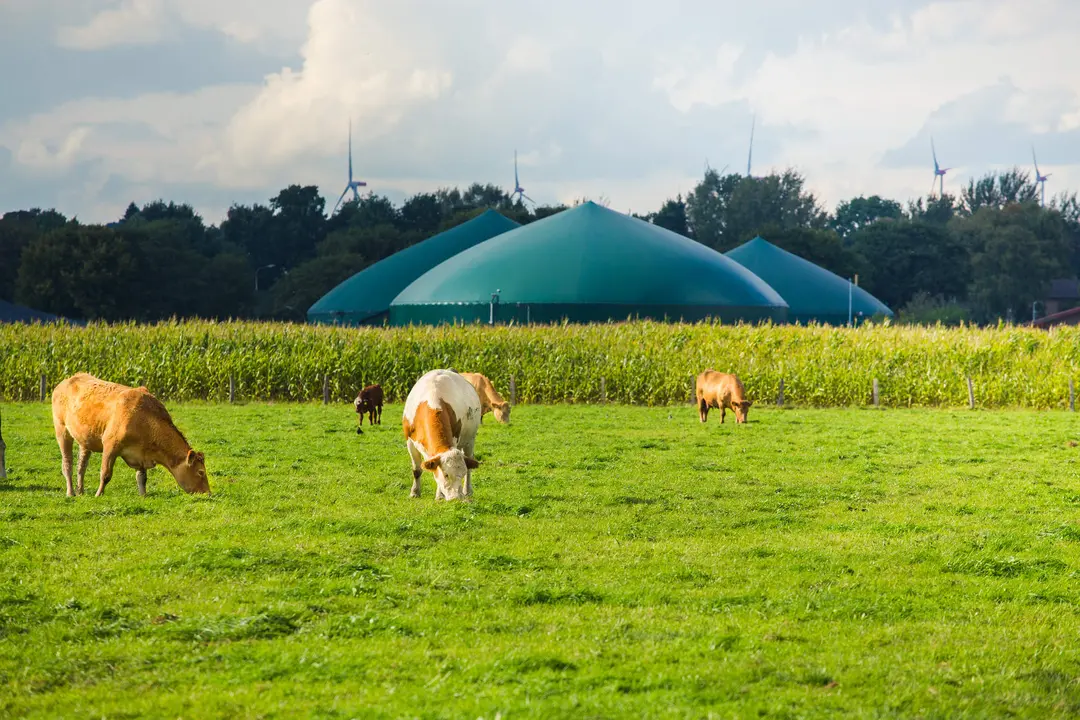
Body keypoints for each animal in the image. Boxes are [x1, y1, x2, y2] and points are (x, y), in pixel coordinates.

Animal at [50, 375, 210, 498]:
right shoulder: (110, 445)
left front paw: (143, 495)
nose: (208, 493)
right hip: (62, 431)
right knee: (67, 463)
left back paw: (81, 491)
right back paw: (71, 492)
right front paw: (98, 494)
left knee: (81, 465)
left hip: (85, 439)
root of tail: (66, 381)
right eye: (201, 472)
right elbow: (105, 474)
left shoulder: (142, 454)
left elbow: (142, 478)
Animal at [403, 371, 483, 500]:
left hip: (470, 440)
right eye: (446, 475)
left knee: (469, 465)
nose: (456, 498)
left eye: (461, 475)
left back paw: (467, 490)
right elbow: (416, 470)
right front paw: (414, 492)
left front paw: (439, 496)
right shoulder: (410, 442)